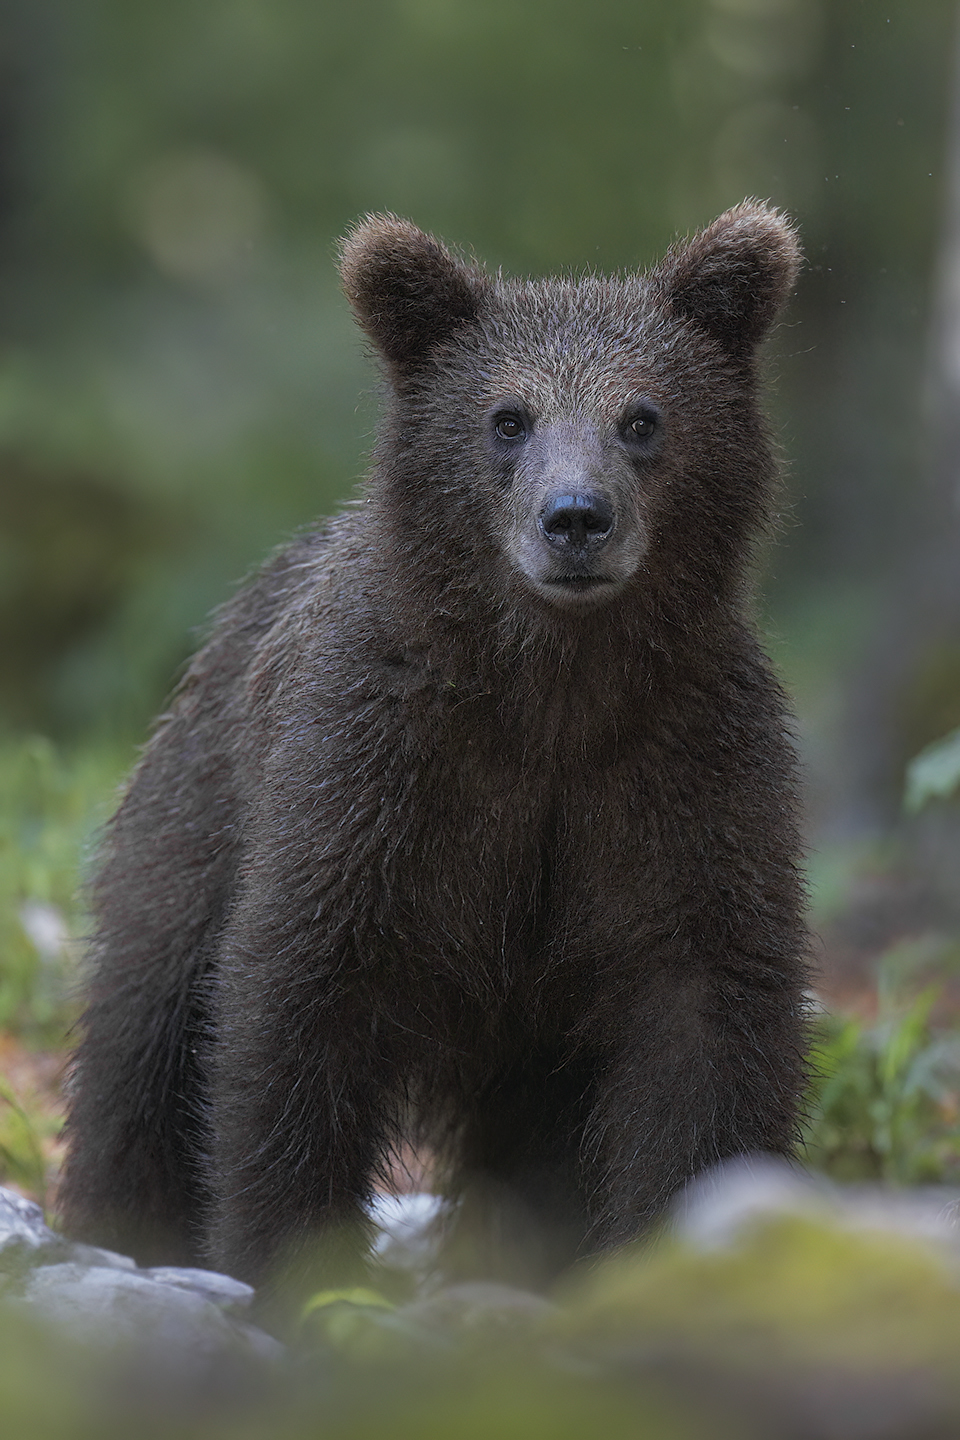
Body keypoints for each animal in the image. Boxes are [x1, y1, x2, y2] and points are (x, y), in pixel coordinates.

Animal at [58, 201, 809, 1299]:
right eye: (507, 417)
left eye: (642, 416)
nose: (575, 518)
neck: (552, 700)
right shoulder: (377, 774)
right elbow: (298, 1004)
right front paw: (294, 1263)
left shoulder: (681, 780)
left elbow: (707, 1018)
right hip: (193, 820)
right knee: (141, 1045)